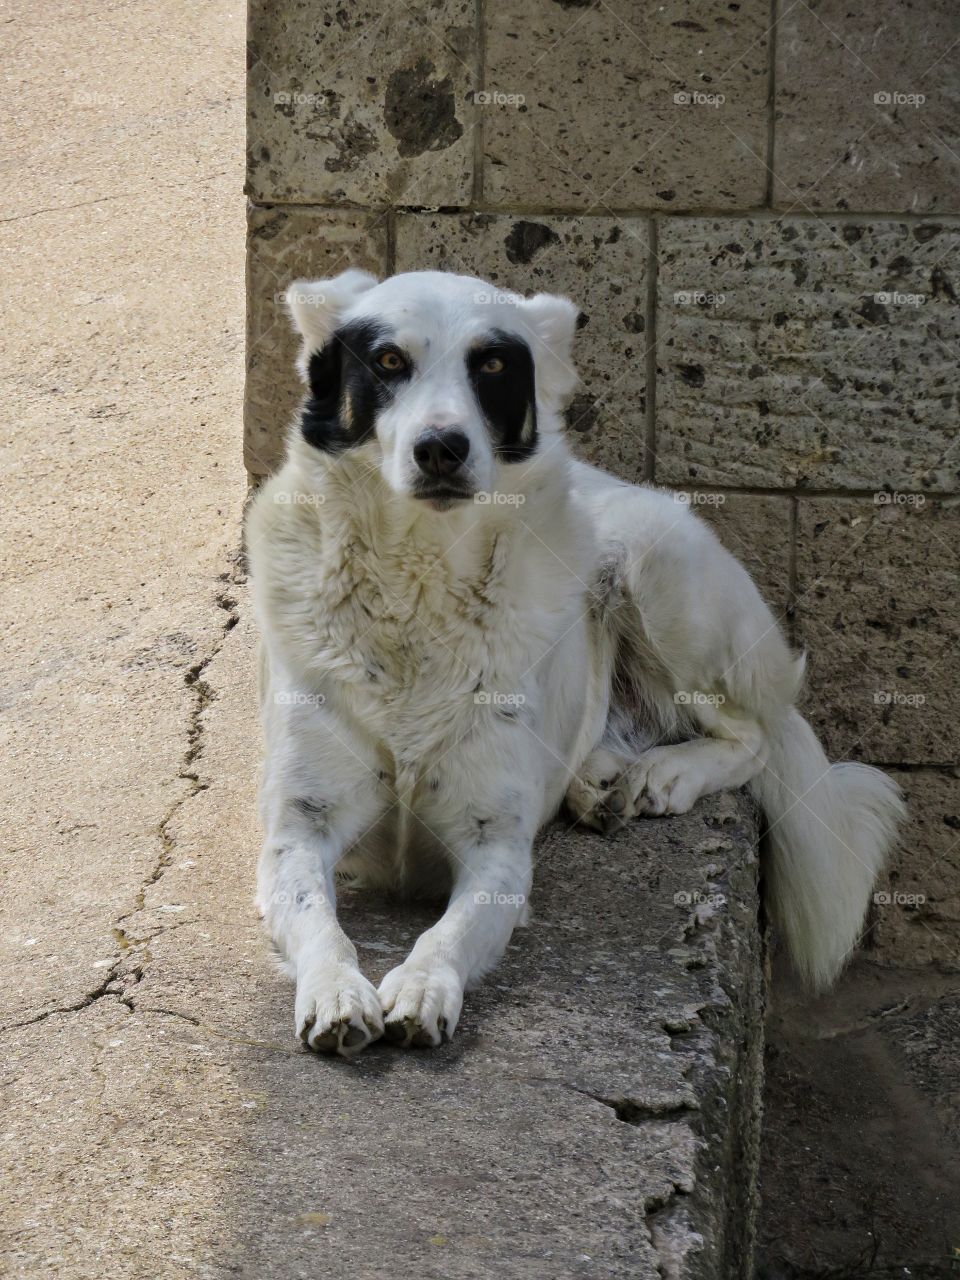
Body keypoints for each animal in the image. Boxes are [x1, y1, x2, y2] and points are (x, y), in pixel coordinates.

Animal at [244, 264, 906, 1054]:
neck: (418, 578)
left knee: (753, 734)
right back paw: (599, 783)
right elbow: (316, 917)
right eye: (389, 361)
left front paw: (424, 986)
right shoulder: (299, 827)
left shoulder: (495, 843)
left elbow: (449, 933)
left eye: (492, 366)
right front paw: (337, 990)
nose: (441, 448)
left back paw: (665, 775)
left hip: (657, 563)